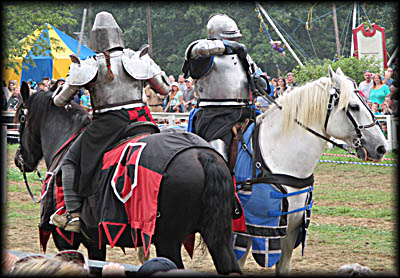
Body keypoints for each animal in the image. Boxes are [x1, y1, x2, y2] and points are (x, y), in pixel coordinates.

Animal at [14, 81, 242, 274]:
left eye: (22, 119)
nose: (19, 159)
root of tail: (201, 155)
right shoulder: (95, 241)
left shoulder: (65, 239)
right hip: (217, 239)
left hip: (168, 241)